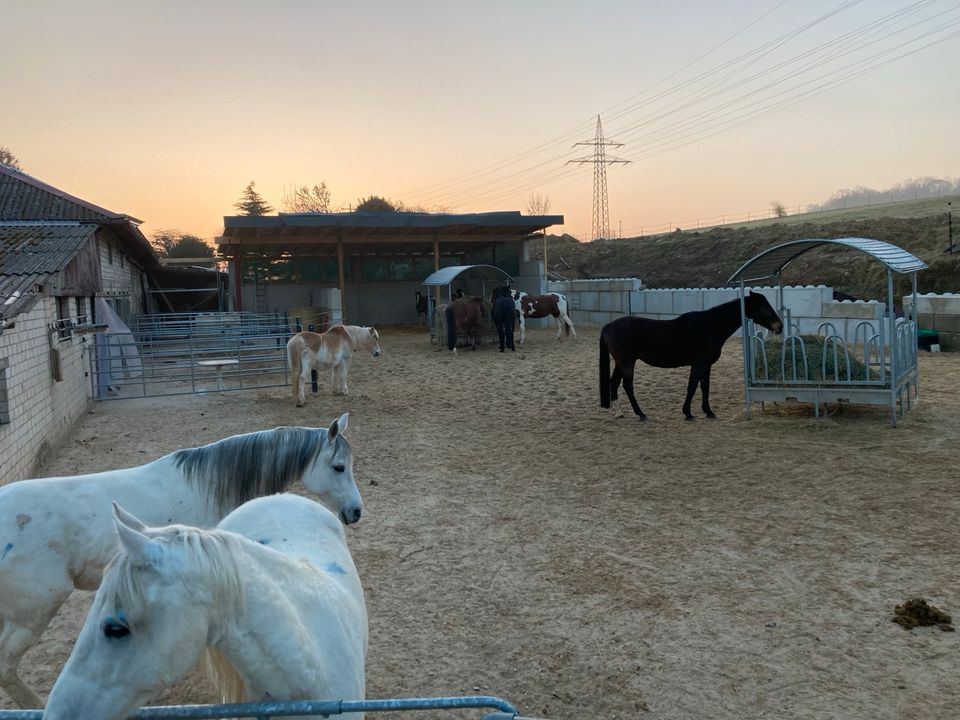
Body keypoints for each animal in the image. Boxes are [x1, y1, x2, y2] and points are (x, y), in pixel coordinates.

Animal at [596, 290, 784, 420]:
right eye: (764, 307)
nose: (779, 326)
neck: (710, 326)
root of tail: (609, 326)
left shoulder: (707, 365)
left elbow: (705, 387)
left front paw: (708, 411)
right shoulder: (698, 364)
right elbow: (692, 386)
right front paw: (688, 412)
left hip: (621, 362)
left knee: (614, 382)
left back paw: (619, 412)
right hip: (627, 363)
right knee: (627, 386)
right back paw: (640, 414)